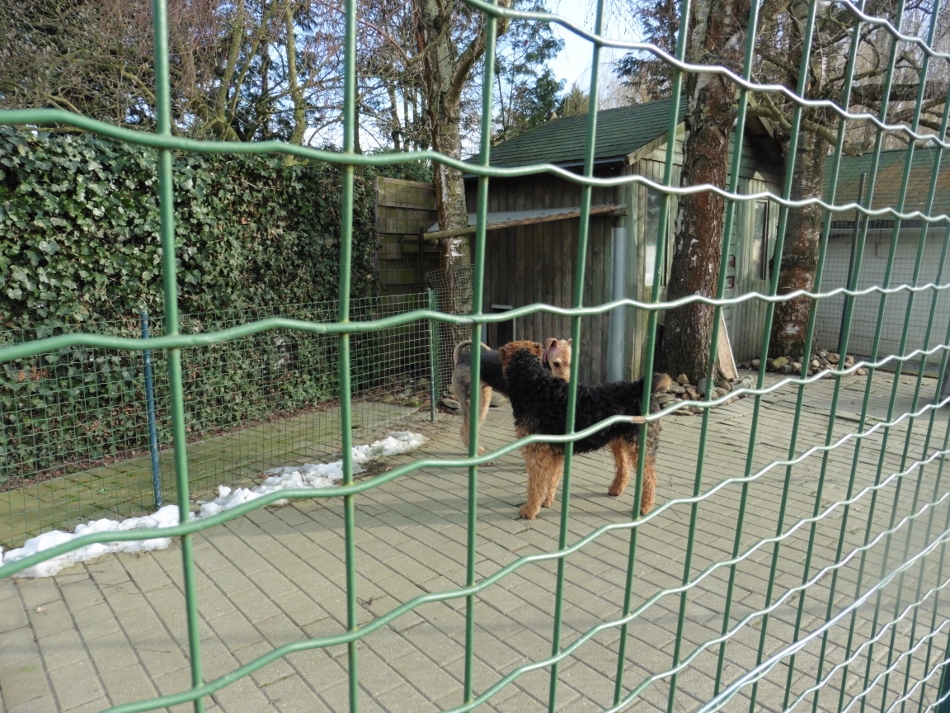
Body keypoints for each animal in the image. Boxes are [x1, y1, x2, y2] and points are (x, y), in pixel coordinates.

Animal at [498, 340, 671, 519]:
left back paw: (645, 507)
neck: (534, 385)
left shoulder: (537, 451)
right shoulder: (555, 452)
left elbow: (536, 484)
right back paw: (616, 489)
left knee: (649, 476)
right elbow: (551, 479)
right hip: (619, 441)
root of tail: (640, 388)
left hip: (639, 442)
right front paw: (546, 501)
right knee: (624, 467)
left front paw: (530, 510)